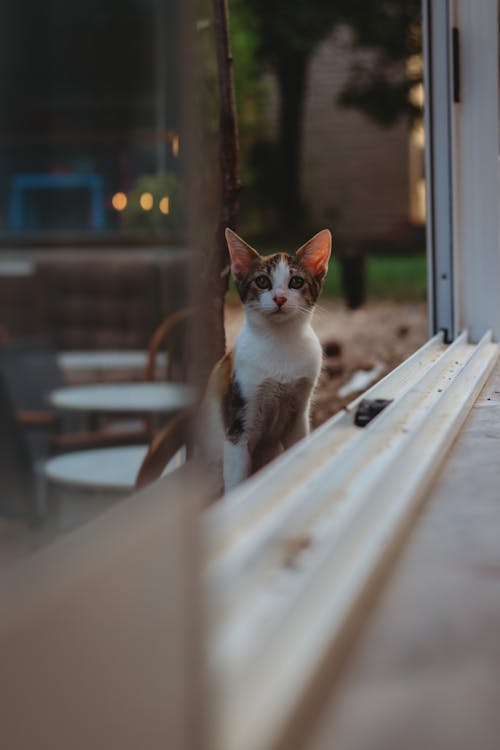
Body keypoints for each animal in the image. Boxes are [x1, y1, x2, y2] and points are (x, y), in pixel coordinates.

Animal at [199, 226, 332, 496]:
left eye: (296, 282)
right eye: (262, 281)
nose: (280, 298)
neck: (279, 341)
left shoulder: (298, 415)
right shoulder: (237, 424)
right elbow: (236, 480)